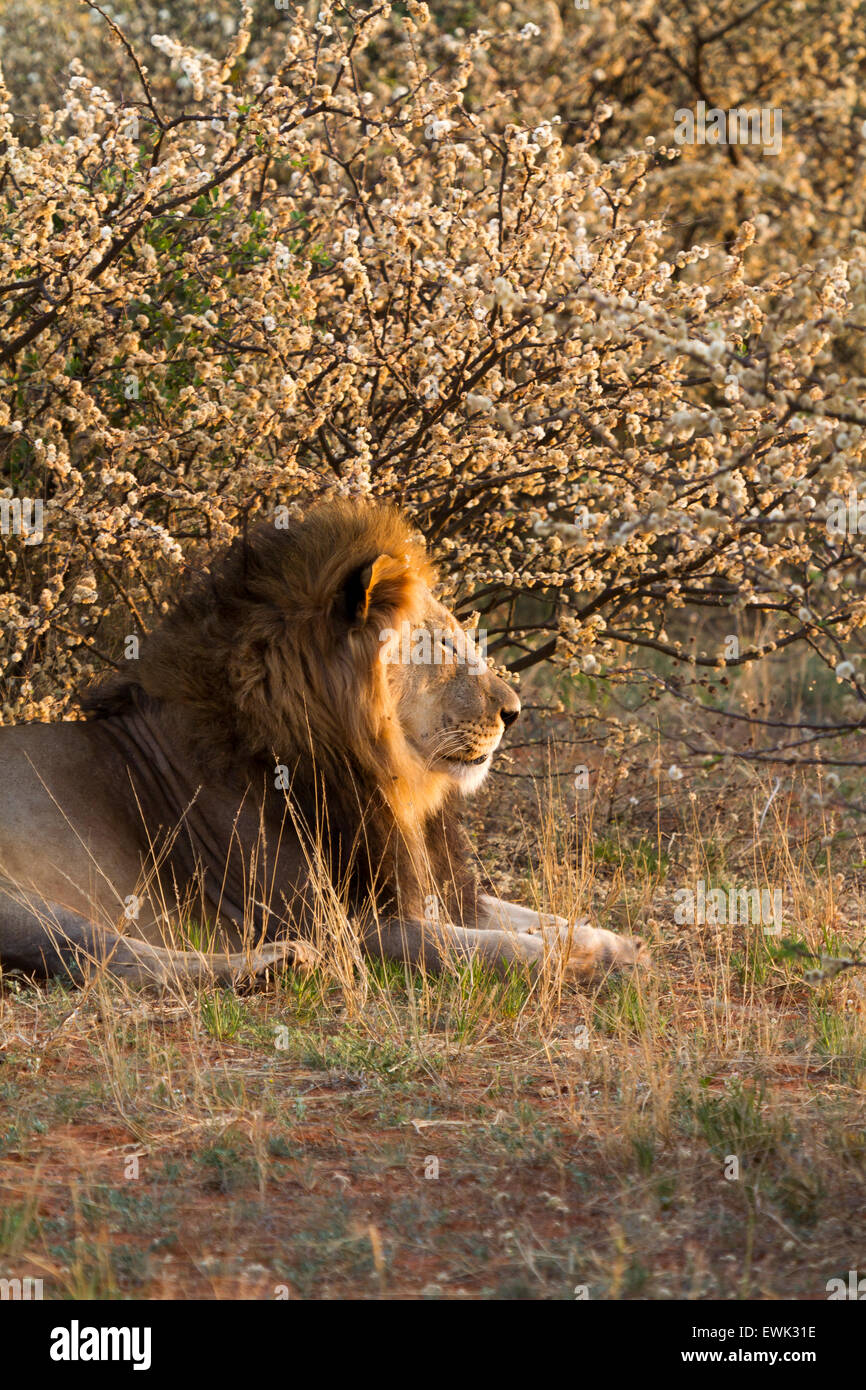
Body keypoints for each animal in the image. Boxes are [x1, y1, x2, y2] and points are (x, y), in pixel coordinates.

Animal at [0, 500, 644, 989]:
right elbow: (481, 946)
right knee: (109, 959)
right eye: (440, 644)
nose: (513, 711)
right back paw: (273, 966)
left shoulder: (413, 885)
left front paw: (612, 940)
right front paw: (584, 959)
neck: (375, 771)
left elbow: (522, 913)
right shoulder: (339, 921)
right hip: (26, 905)